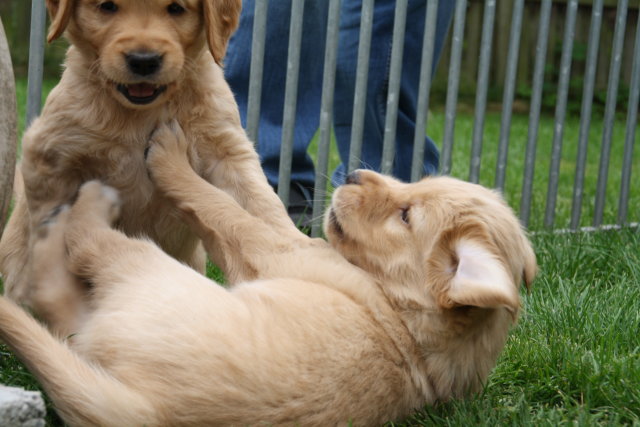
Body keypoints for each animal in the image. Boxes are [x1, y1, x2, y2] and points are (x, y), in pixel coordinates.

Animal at [0, 0, 297, 333]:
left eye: (176, 9)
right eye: (107, 7)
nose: (143, 61)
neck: (143, 111)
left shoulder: (227, 150)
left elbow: (262, 205)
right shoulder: (50, 154)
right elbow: (49, 229)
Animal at [0, 122, 537, 426]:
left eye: (406, 216)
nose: (353, 175)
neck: (401, 305)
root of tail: (146, 410)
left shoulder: (277, 250)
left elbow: (222, 210)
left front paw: (173, 157)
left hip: (146, 267)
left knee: (86, 247)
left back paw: (89, 202)